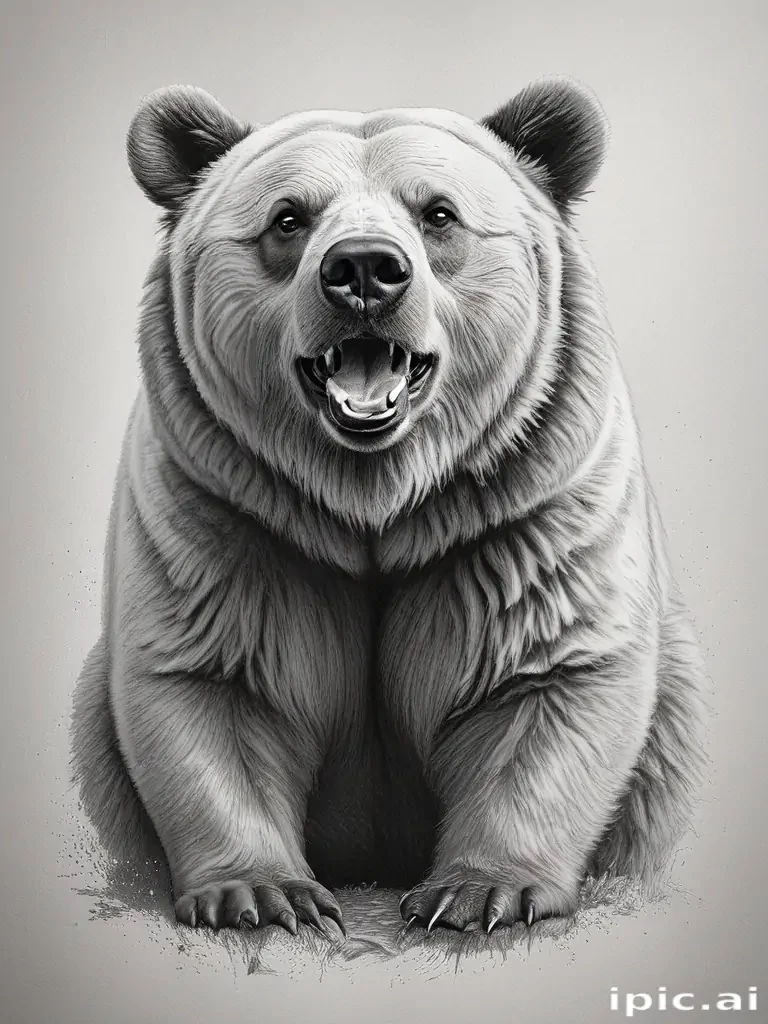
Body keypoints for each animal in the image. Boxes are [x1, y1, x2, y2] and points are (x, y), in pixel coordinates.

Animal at [71, 76, 707, 937]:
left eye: (438, 213)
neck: (376, 505)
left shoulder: (528, 507)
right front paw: (263, 895)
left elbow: (548, 675)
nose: (364, 270)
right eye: (288, 218)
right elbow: (212, 683)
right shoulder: (223, 511)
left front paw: (480, 893)